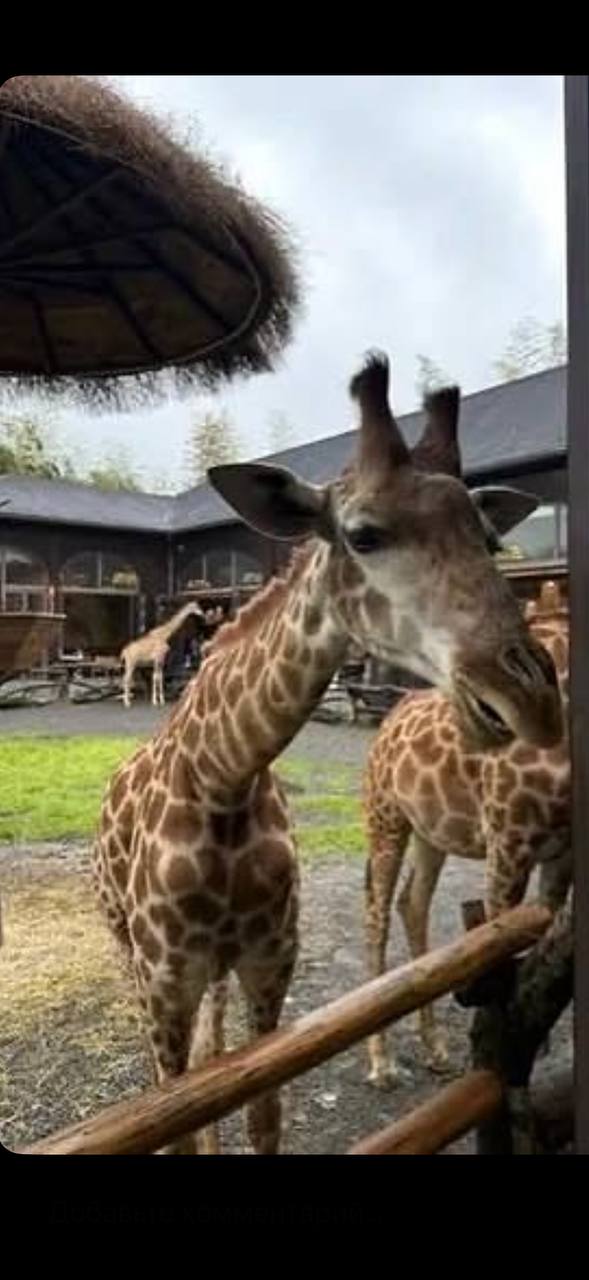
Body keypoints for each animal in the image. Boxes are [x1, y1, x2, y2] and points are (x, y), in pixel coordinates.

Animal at [363, 580, 570, 1087]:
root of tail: (387, 722)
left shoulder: (565, 850)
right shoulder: (509, 840)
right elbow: (500, 942)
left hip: (431, 831)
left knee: (411, 902)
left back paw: (435, 1049)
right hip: (386, 819)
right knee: (377, 914)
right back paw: (381, 1062)